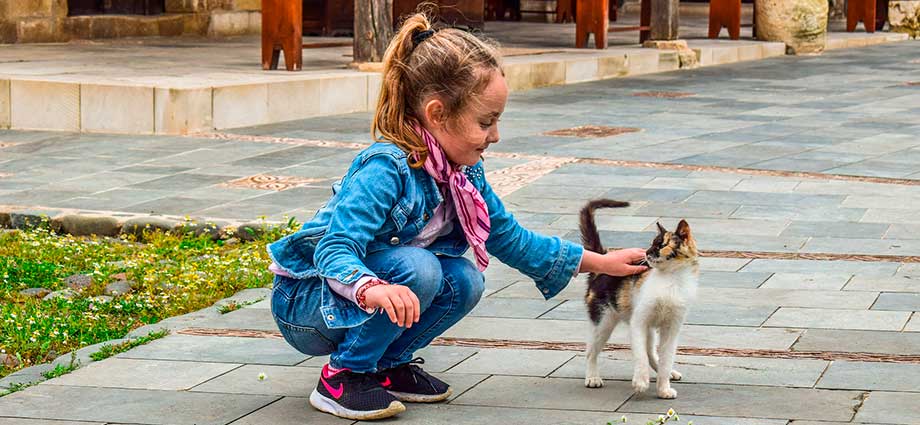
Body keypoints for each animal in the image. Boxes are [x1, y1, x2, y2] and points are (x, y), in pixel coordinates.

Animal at [580, 199, 700, 398]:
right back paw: (592, 378)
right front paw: (641, 382)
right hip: (603, 321)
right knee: (591, 351)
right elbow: (640, 355)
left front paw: (663, 388)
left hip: (649, 329)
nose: (646, 253)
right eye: (651, 243)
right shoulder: (638, 322)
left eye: (660, 245)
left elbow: (666, 357)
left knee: (651, 352)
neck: (671, 279)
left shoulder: (672, 327)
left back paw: (666, 373)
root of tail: (604, 258)